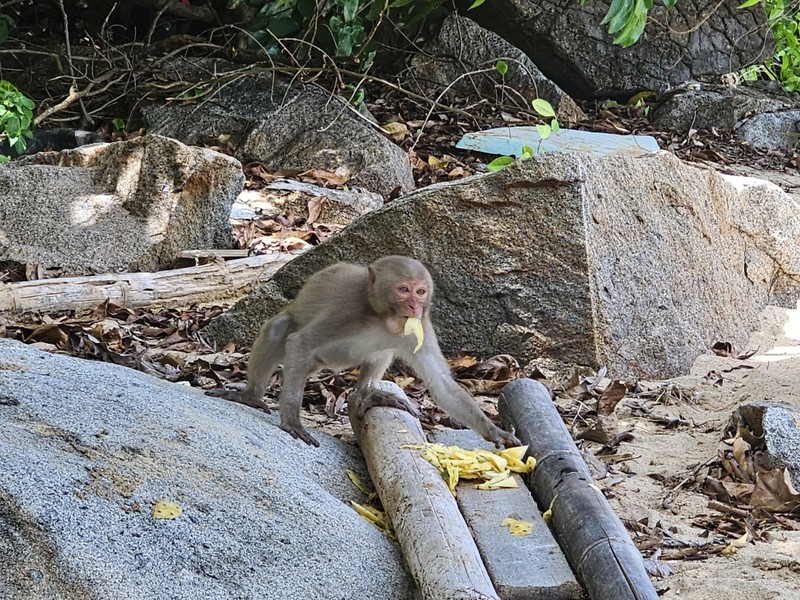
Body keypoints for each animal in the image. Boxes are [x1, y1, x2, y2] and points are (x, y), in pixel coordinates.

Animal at [233, 255, 520, 448]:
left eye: (421, 291)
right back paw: (250, 396)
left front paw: (493, 431)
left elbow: (442, 385)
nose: (415, 306)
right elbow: (301, 342)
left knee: (380, 353)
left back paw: (367, 394)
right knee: (279, 329)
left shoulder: (421, 327)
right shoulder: (346, 310)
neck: (384, 317)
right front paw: (292, 419)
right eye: (403, 290)